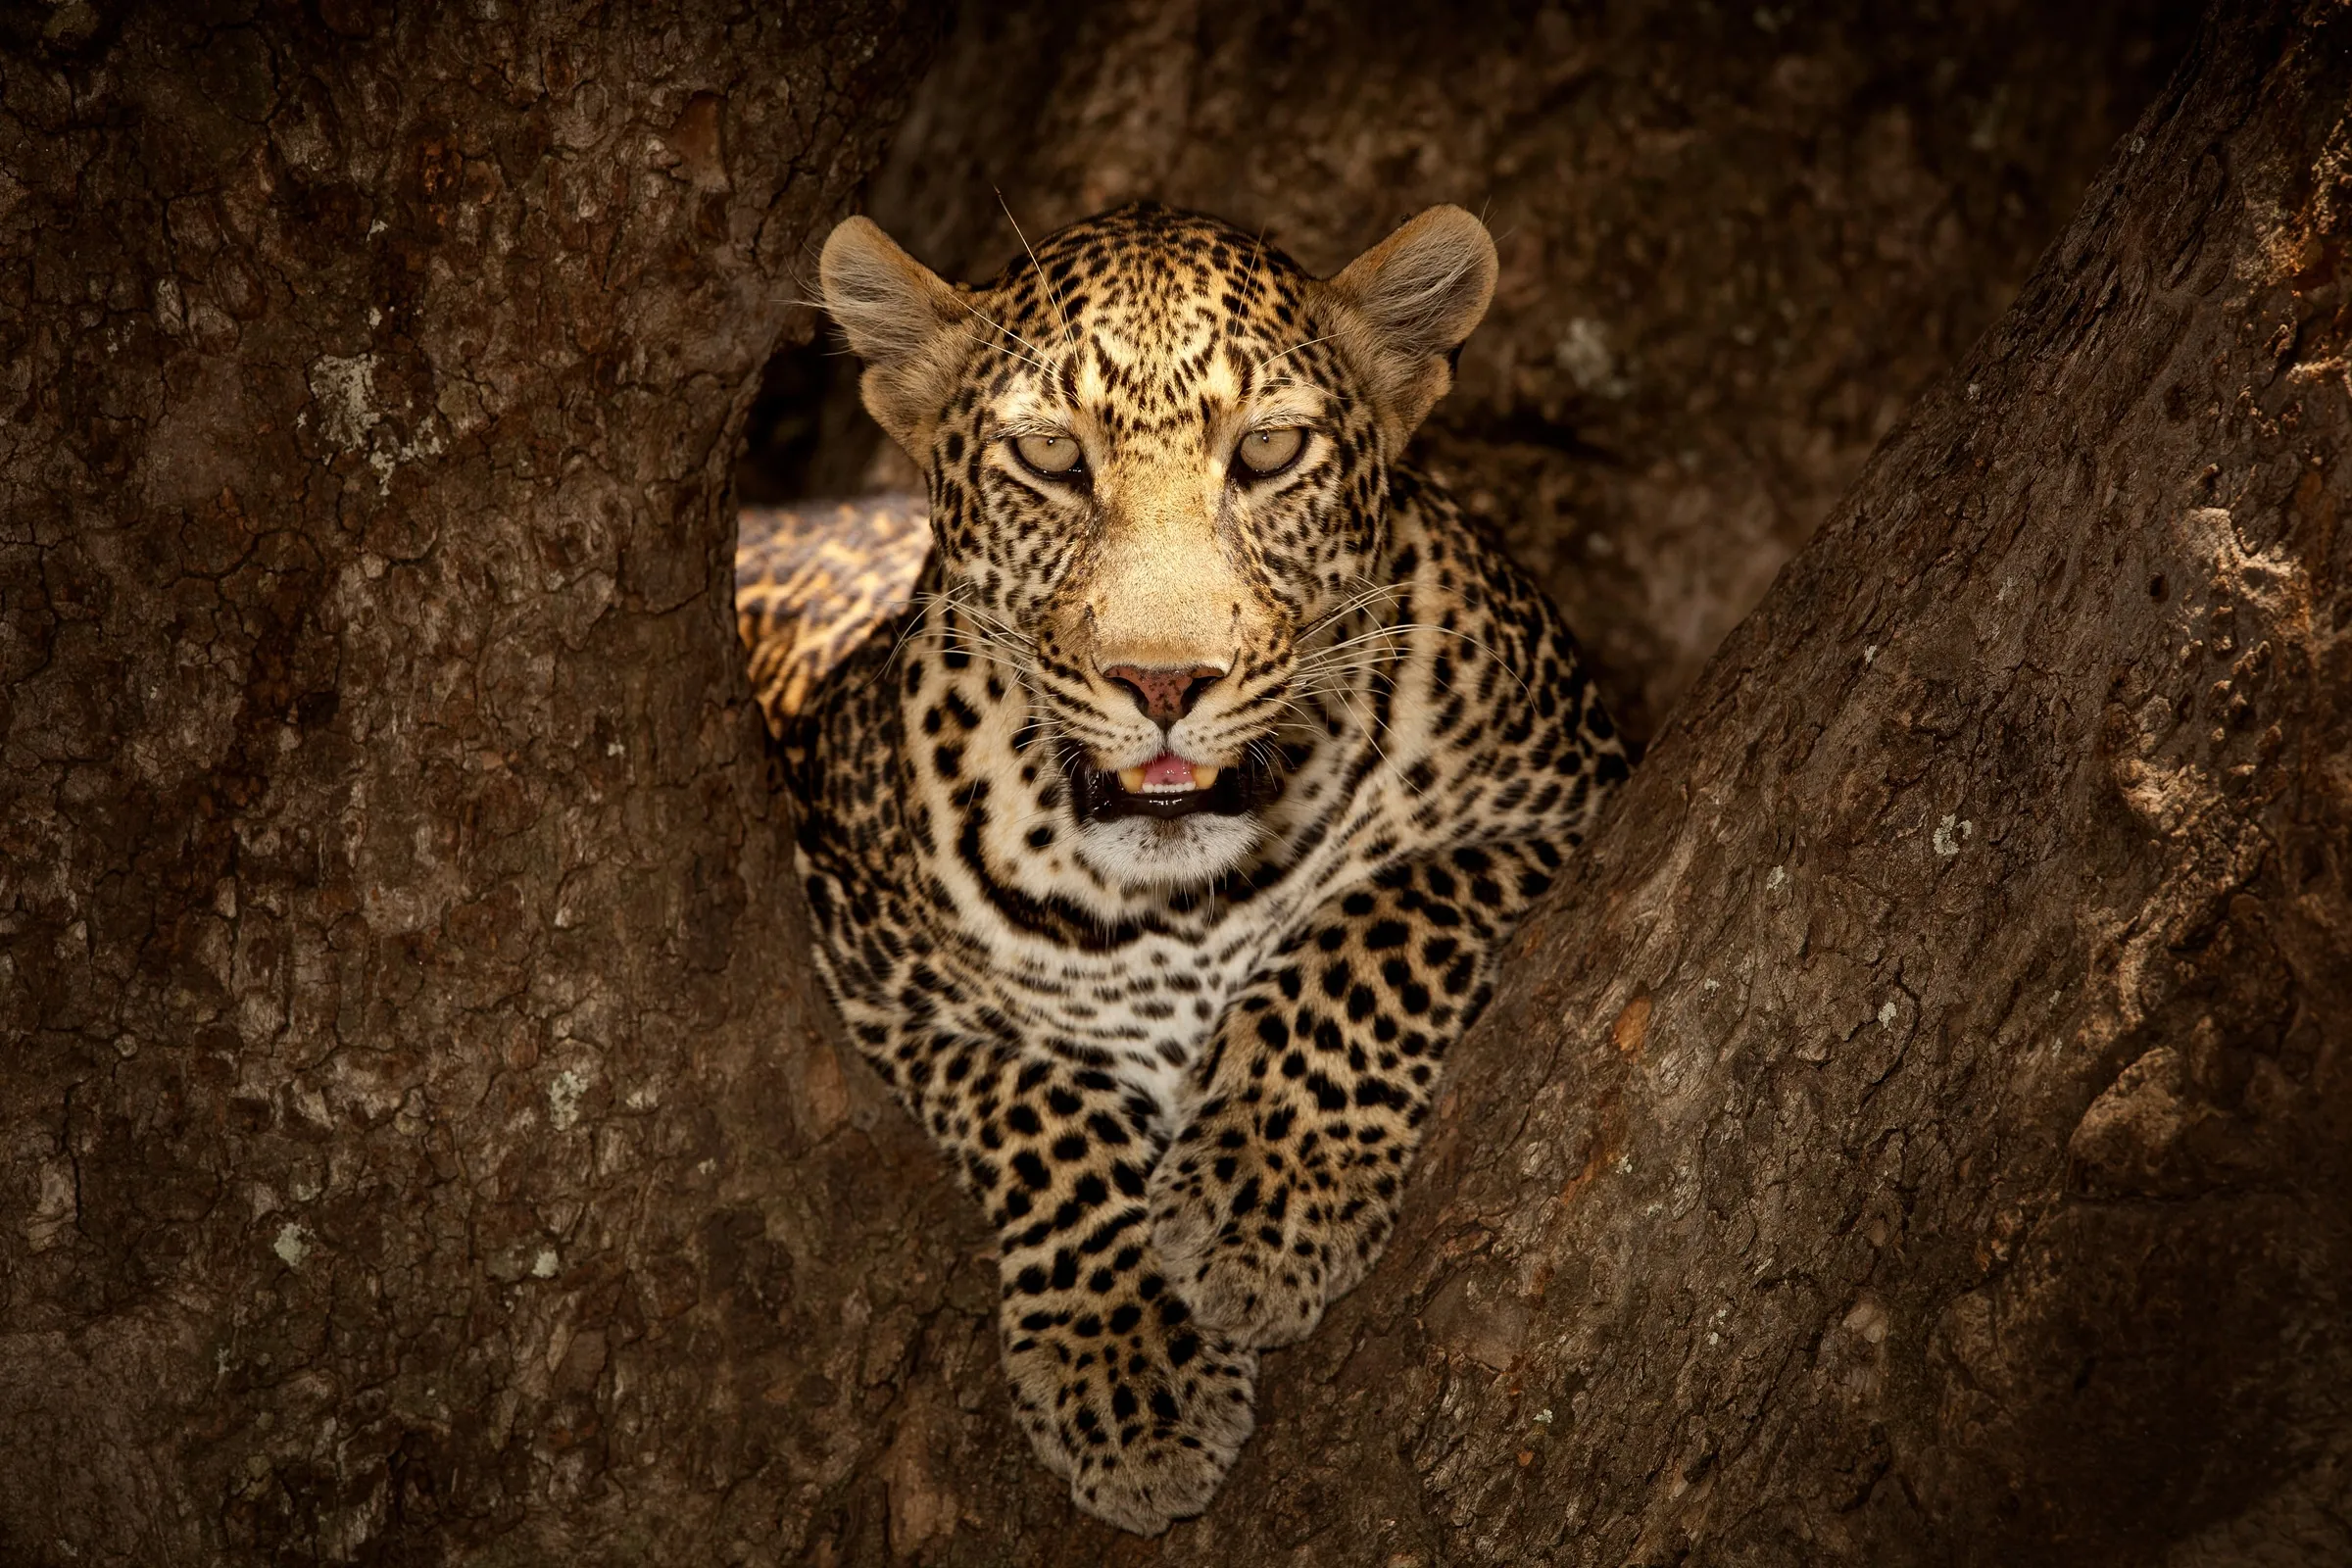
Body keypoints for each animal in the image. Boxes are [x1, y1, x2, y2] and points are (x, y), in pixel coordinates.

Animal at [780, 202, 1627, 1542]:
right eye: (1052, 457)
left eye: (1270, 452)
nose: (1165, 682)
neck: (1178, 904)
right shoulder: (869, 968)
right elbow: (1040, 1102)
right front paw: (1131, 1366)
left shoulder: (1569, 799)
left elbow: (1377, 922)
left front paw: (1265, 1203)